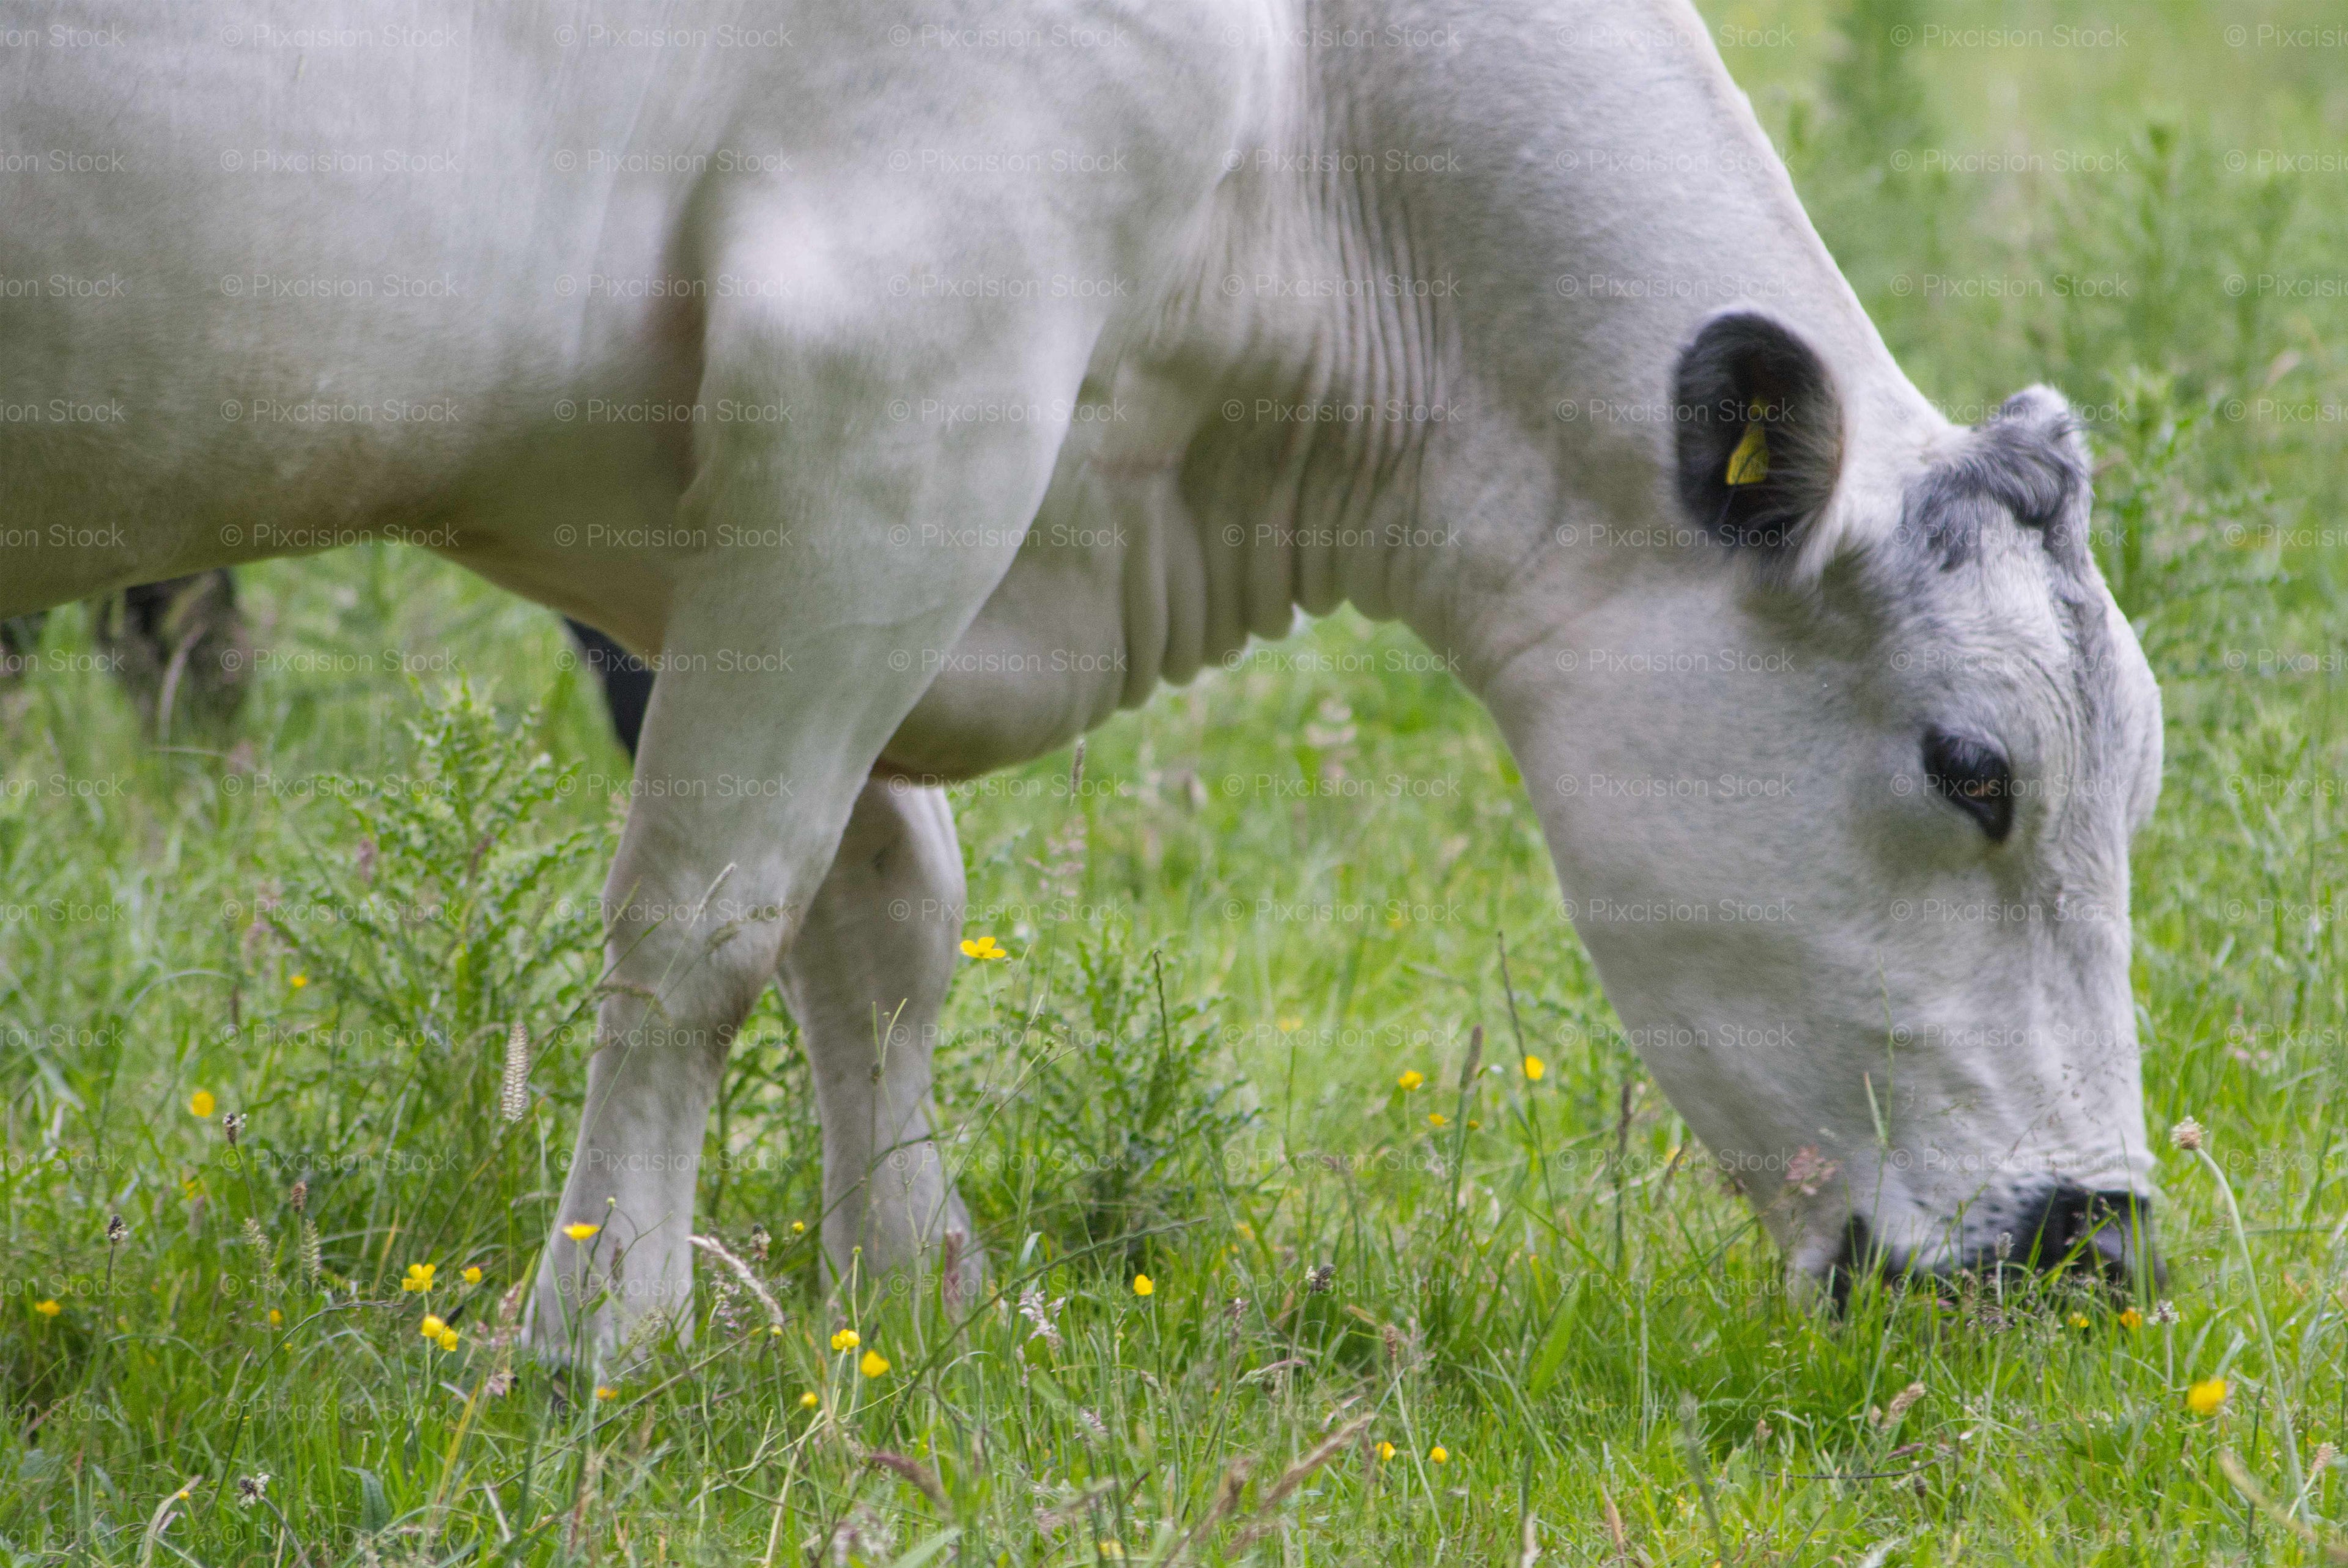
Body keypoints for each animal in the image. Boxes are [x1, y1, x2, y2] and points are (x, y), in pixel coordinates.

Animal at [1, 0, 2164, 1356]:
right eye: (1972, 768)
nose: (2095, 1252)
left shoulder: (785, 501)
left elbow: (878, 915)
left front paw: (909, 1292)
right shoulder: (893, 391)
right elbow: (705, 915)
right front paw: (596, 1334)